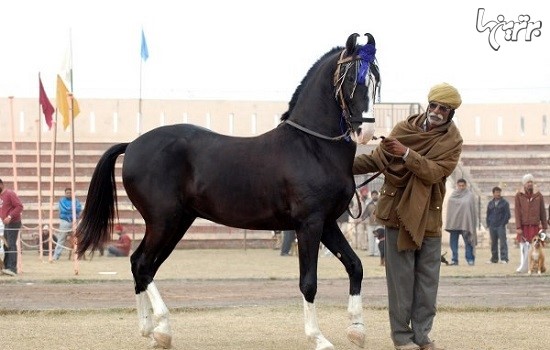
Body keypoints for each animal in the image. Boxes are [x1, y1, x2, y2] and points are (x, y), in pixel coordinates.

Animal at [75, 32, 382, 350]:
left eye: (376, 80)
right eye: (351, 79)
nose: (366, 131)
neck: (313, 147)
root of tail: (132, 144)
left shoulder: (328, 223)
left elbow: (355, 265)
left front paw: (357, 330)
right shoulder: (309, 225)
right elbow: (308, 282)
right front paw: (318, 338)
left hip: (176, 223)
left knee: (140, 264)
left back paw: (150, 331)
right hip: (163, 222)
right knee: (144, 266)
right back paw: (162, 328)